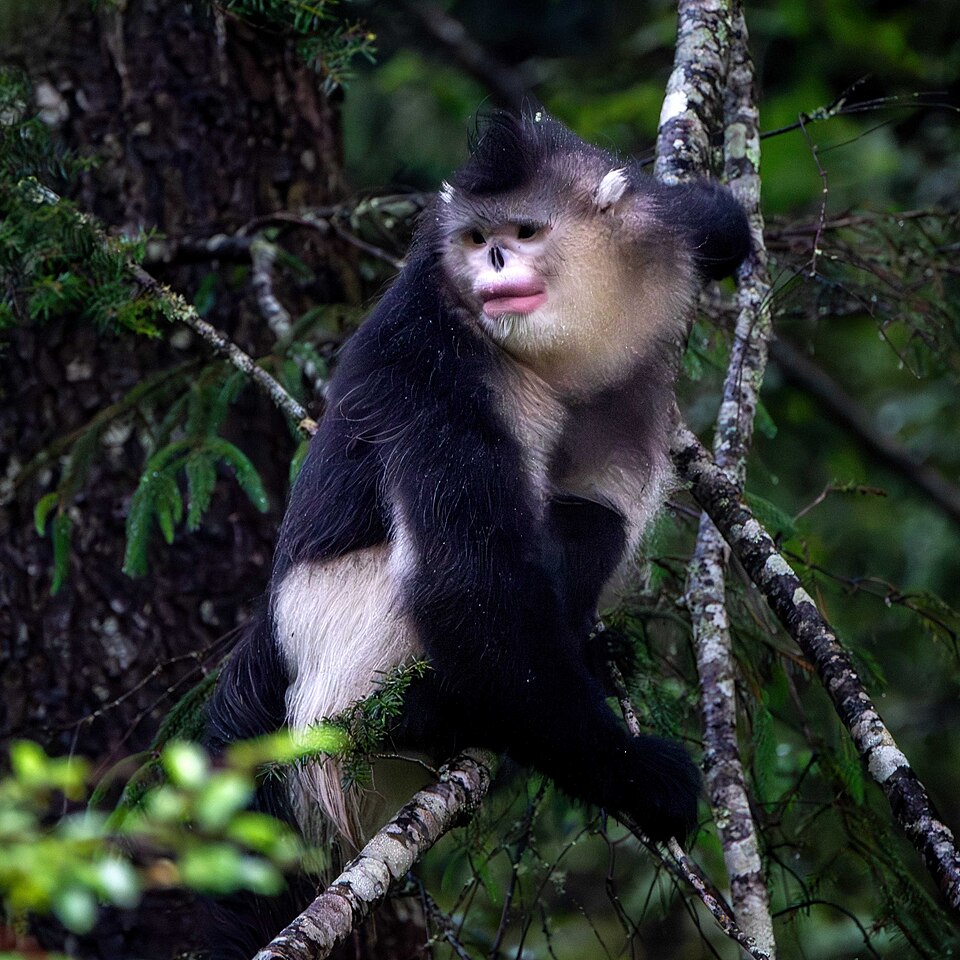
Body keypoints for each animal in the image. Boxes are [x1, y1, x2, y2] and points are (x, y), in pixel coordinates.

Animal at [206, 111, 751, 923]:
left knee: (591, 515)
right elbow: (466, 589)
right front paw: (639, 776)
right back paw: (434, 712)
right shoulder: (435, 372)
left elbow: (714, 220)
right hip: (347, 670)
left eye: (523, 231)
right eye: (476, 238)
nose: (493, 257)